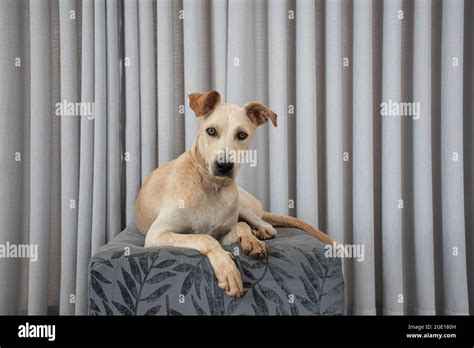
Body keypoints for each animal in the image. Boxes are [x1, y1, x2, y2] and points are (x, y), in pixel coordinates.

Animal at [133, 90, 336, 296]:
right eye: (211, 131)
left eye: (242, 135)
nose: (224, 166)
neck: (212, 187)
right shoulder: (157, 234)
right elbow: (205, 237)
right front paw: (228, 269)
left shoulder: (222, 232)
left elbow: (239, 226)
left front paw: (251, 241)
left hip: (243, 204)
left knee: (264, 225)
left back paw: (261, 232)